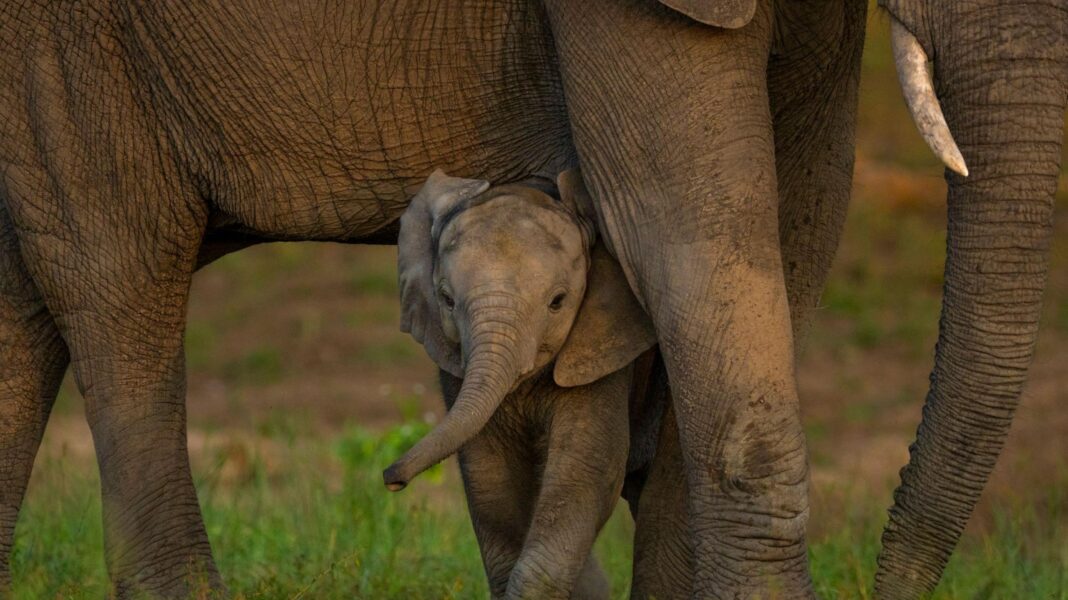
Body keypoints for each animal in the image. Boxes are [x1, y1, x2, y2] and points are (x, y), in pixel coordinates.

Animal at [382, 168, 656, 598]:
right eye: (446, 300)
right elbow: (488, 473)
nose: (391, 479)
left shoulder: (602, 348)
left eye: (557, 302)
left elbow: (586, 469)